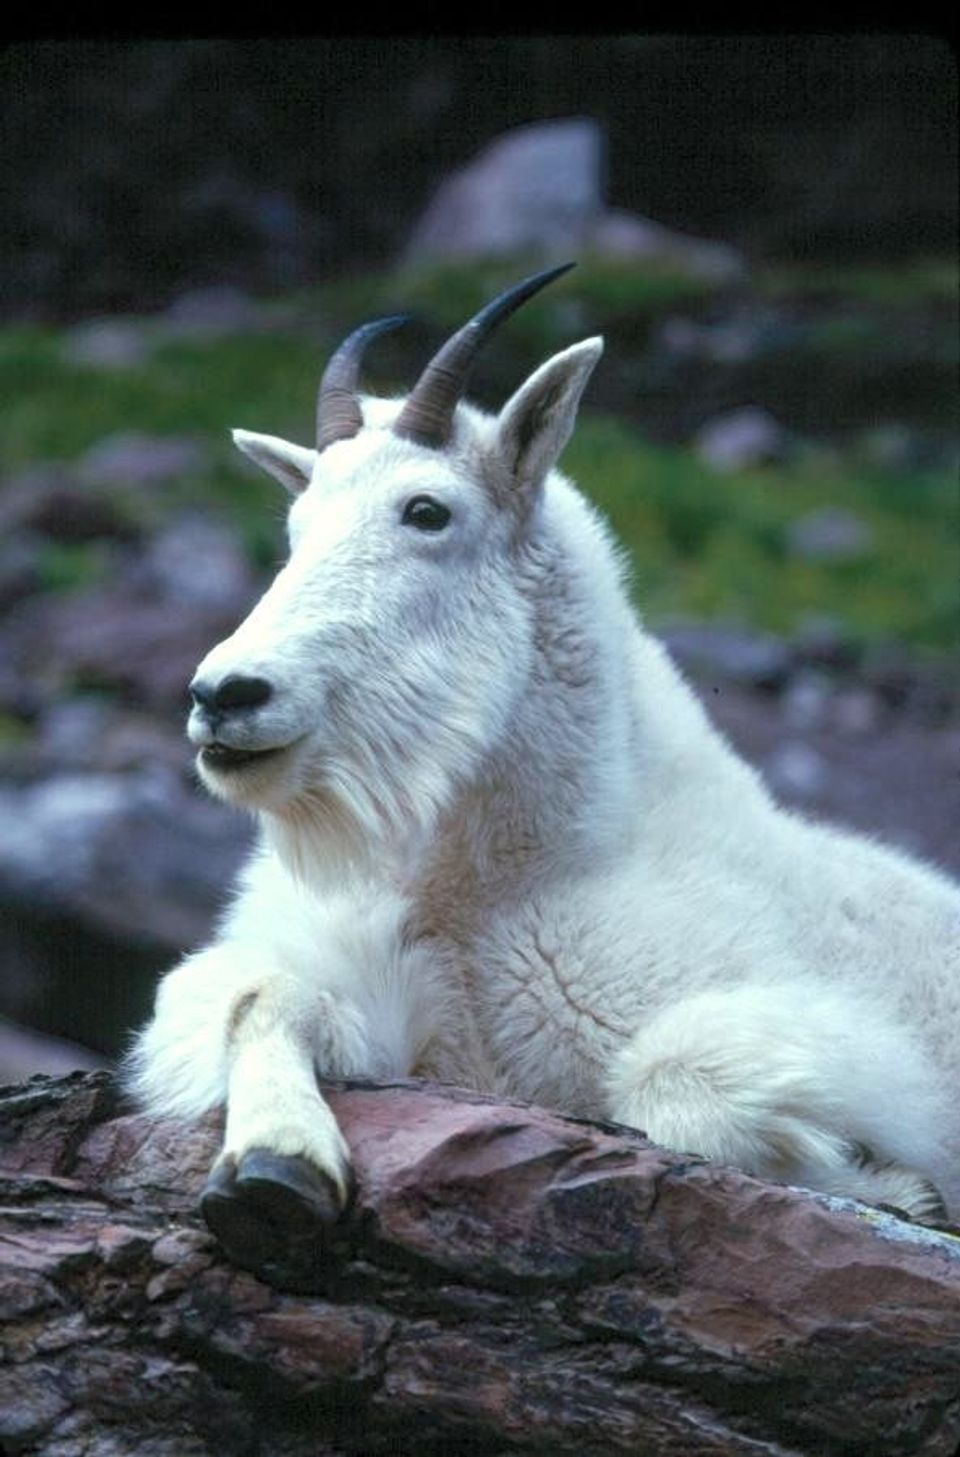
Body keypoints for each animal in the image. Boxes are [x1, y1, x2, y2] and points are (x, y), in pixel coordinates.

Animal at [127, 264, 960, 1271]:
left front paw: (892, 1184)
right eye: (295, 526)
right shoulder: (398, 1012)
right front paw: (274, 1171)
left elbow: (677, 1077)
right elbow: (258, 993)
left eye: (427, 510)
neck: (499, 878)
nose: (226, 695)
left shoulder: (852, 1043)